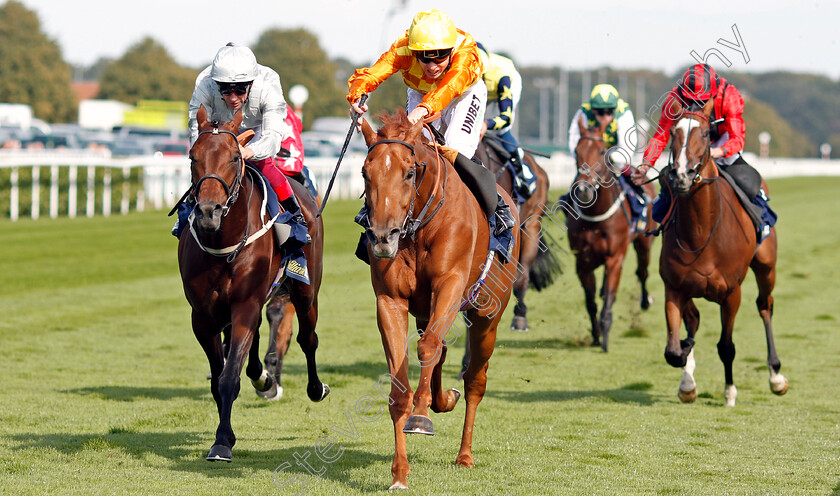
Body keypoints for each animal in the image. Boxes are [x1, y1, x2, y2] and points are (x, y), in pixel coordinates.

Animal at [178, 105, 328, 462]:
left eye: (235, 157)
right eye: (192, 156)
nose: (208, 212)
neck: (223, 242)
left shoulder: (246, 304)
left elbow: (230, 376)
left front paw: (221, 441)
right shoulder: (203, 315)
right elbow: (219, 376)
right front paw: (226, 434)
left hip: (305, 289)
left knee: (307, 337)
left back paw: (314, 387)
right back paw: (263, 376)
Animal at [360, 109, 520, 488]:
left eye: (409, 171)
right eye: (364, 172)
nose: (382, 237)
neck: (417, 228)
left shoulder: (450, 283)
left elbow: (428, 348)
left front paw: (421, 416)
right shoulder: (390, 301)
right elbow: (400, 387)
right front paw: (399, 473)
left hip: (487, 316)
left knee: (475, 379)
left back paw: (465, 453)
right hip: (424, 311)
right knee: (442, 351)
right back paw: (443, 398)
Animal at [564, 116, 656, 350]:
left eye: (600, 151)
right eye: (577, 151)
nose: (584, 190)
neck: (596, 217)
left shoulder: (615, 258)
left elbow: (609, 298)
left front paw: (604, 333)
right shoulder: (582, 262)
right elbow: (590, 302)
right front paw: (596, 333)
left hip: (644, 243)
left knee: (642, 272)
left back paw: (645, 301)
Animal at [656, 98, 788, 406]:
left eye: (705, 134)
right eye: (672, 134)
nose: (682, 174)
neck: (701, 232)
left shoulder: (731, 293)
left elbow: (726, 346)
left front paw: (729, 392)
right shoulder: (674, 287)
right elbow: (673, 350)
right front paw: (686, 366)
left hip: (766, 267)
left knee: (765, 306)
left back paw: (776, 376)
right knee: (693, 318)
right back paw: (688, 379)